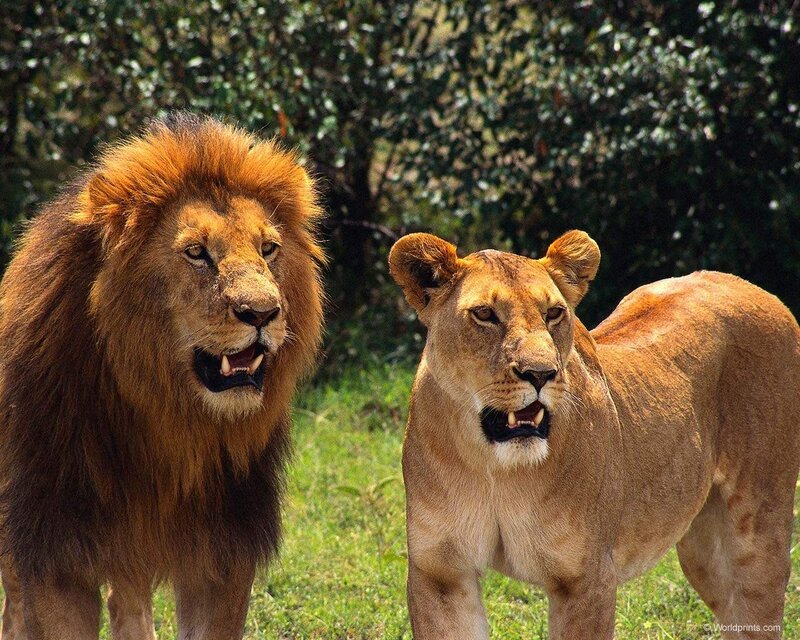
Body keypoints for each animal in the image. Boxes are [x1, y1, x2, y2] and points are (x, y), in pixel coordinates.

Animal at [0, 113, 325, 640]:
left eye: (269, 248)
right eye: (196, 252)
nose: (263, 312)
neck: (168, 422)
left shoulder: (223, 554)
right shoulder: (56, 549)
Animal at [389, 231, 800, 640]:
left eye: (554, 313)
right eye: (485, 314)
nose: (541, 374)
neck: (496, 469)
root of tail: (752, 287)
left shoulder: (586, 578)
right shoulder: (440, 574)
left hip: (758, 535)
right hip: (703, 550)